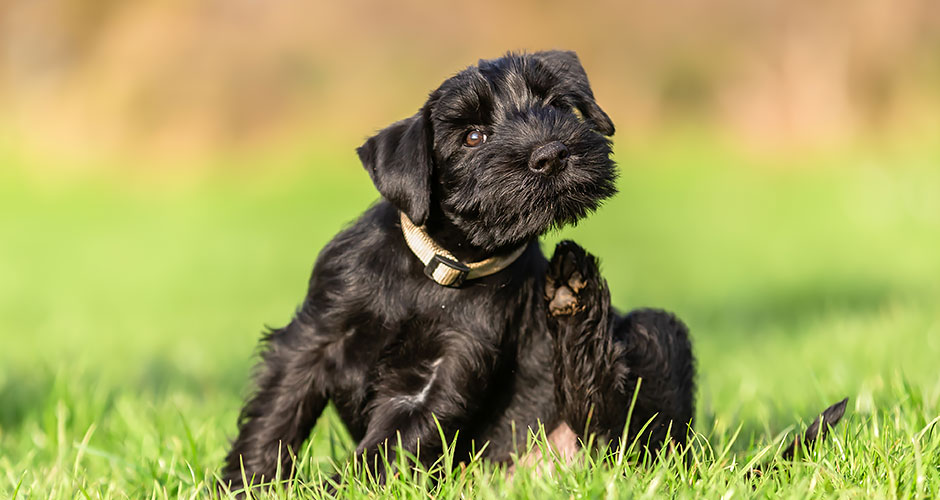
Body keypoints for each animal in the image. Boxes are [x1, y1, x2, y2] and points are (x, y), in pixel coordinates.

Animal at [218, 51, 692, 492]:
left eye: (556, 105)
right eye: (472, 136)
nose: (551, 154)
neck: (438, 270)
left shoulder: (445, 371)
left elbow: (386, 446)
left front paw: (337, 491)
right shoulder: (313, 337)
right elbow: (277, 415)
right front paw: (244, 484)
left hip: (656, 335)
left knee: (618, 431)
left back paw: (576, 293)